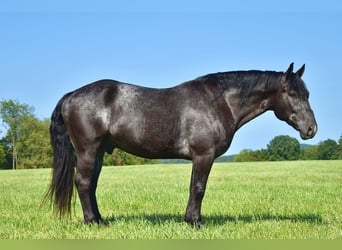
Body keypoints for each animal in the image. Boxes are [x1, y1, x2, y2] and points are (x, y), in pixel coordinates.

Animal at [46, 62, 316, 225]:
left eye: (307, 94)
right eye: (292, 94)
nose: (311, 129)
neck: (219, 102)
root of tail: (71, 96)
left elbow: (193, 187)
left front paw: (190, 219)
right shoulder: (204, 155)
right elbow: (198, 188)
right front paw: (196, 222)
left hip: (99, 153)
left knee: (91, 185)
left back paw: (101, 220)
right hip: (88, 151)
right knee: (83, 183)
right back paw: (93, 222)